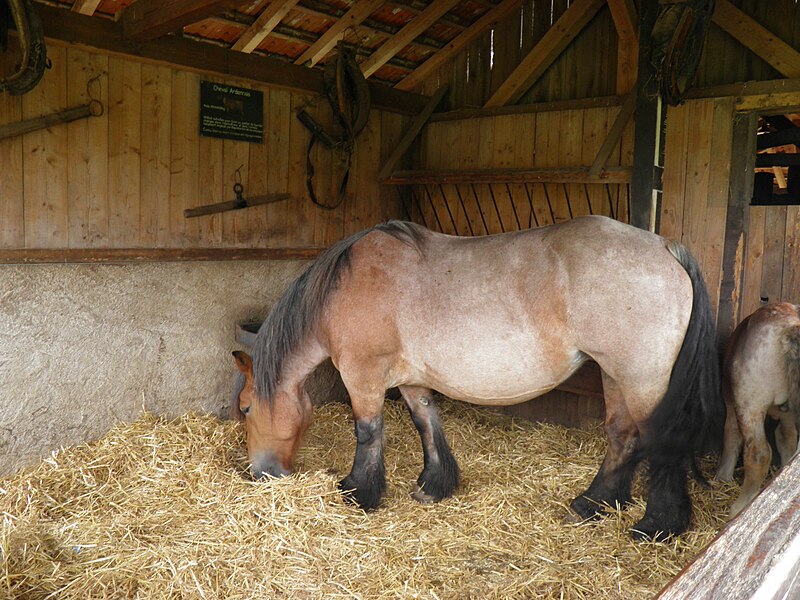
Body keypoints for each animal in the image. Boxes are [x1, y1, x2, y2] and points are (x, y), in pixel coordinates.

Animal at [231, 216, 724, 540]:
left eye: (245, 408)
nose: (261, 474)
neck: (345, 286)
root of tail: (664, 246)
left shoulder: (363, 374)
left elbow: (368, 432)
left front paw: (358, 492)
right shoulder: (410, 379)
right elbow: (426, 423)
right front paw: (434, 484)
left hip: (640, 379)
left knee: (660, 443)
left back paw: (656, 524)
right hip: (615, 375)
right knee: (622, 436)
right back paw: (594, 504)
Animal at [716, 302, 796, 516]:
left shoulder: (732, 401)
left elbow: (730, 434)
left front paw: (722, 476)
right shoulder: (787, 414)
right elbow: (787, 439)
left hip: (750, 403)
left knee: (758, 453)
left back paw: (739, 508)